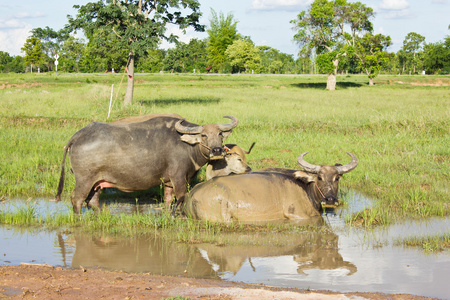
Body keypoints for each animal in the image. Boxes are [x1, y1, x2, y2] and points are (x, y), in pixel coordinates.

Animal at [53, 115, 239, 213]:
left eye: (220, 134)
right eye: (204, 135)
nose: (217, 150)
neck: (186, 146)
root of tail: (79, 135)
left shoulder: (168, 182)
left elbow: (168, 199)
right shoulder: (179, 177)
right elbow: (181, 197)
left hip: (98, 182)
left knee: (92, 200)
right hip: (84, 179)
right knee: (77, 199)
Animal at [183, 152, 358, 223]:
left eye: (337, 178)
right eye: (319, 177)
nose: (330, 200)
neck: (305, 188)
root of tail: (191, 196)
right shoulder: (298, 216)